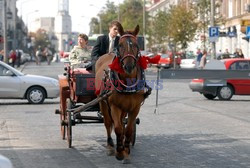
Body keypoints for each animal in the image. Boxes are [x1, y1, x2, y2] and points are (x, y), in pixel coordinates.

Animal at [94, 23, 149, 163]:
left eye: (136, 45)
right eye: (120, 45)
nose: (128, 66)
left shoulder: (134, 108)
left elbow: (128, 129)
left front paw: (126, 151)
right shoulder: (114, 106)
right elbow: (118, 128)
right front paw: (119, 152)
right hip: (103, 102)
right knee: (108, 123)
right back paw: (110, 146)